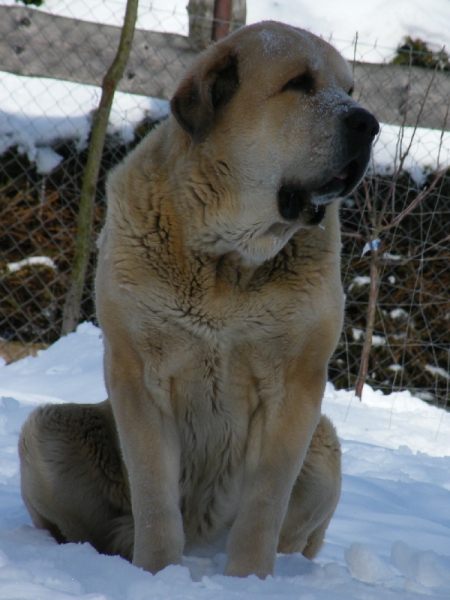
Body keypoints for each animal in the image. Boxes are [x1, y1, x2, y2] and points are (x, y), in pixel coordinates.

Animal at [18, 21, 380, 580]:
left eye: (350, 89)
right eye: (300, 83)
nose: (370, 123)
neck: (227, 256)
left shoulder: (295, 386)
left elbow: (264, 501)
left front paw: (249, 580)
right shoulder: (139, 373)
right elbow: (153, 493)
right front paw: (155, 574)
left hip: (324, 449)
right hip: (46, 429)